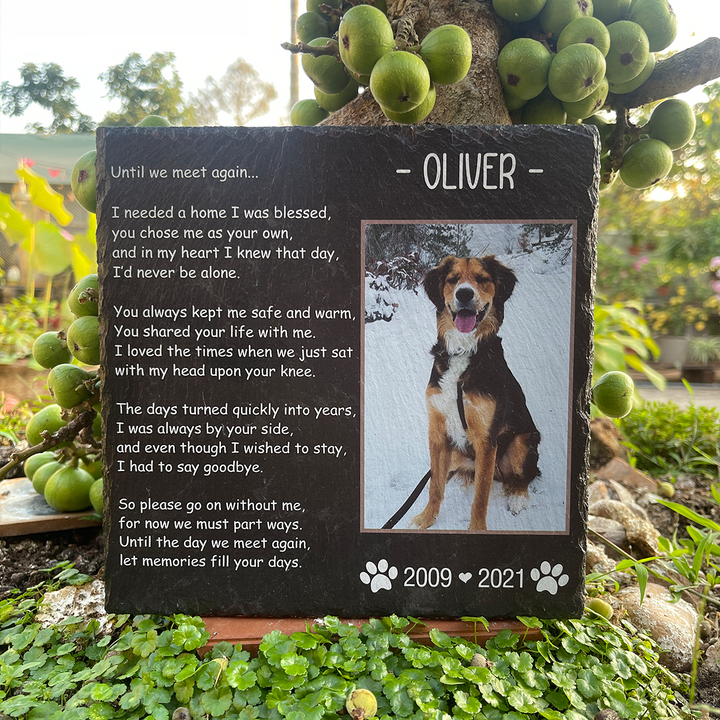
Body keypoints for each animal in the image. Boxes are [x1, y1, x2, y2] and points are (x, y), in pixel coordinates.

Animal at [410, 255, 540, 528]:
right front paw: (425, 519)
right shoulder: (437, 430)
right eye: (453, 279)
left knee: (526, 475)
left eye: (482, 279)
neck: (464, 352)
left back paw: (518, 497)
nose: (464, 294)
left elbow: (481, 497)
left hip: (524, 440)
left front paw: (477, 528)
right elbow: (434, 486)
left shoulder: (486, 440)